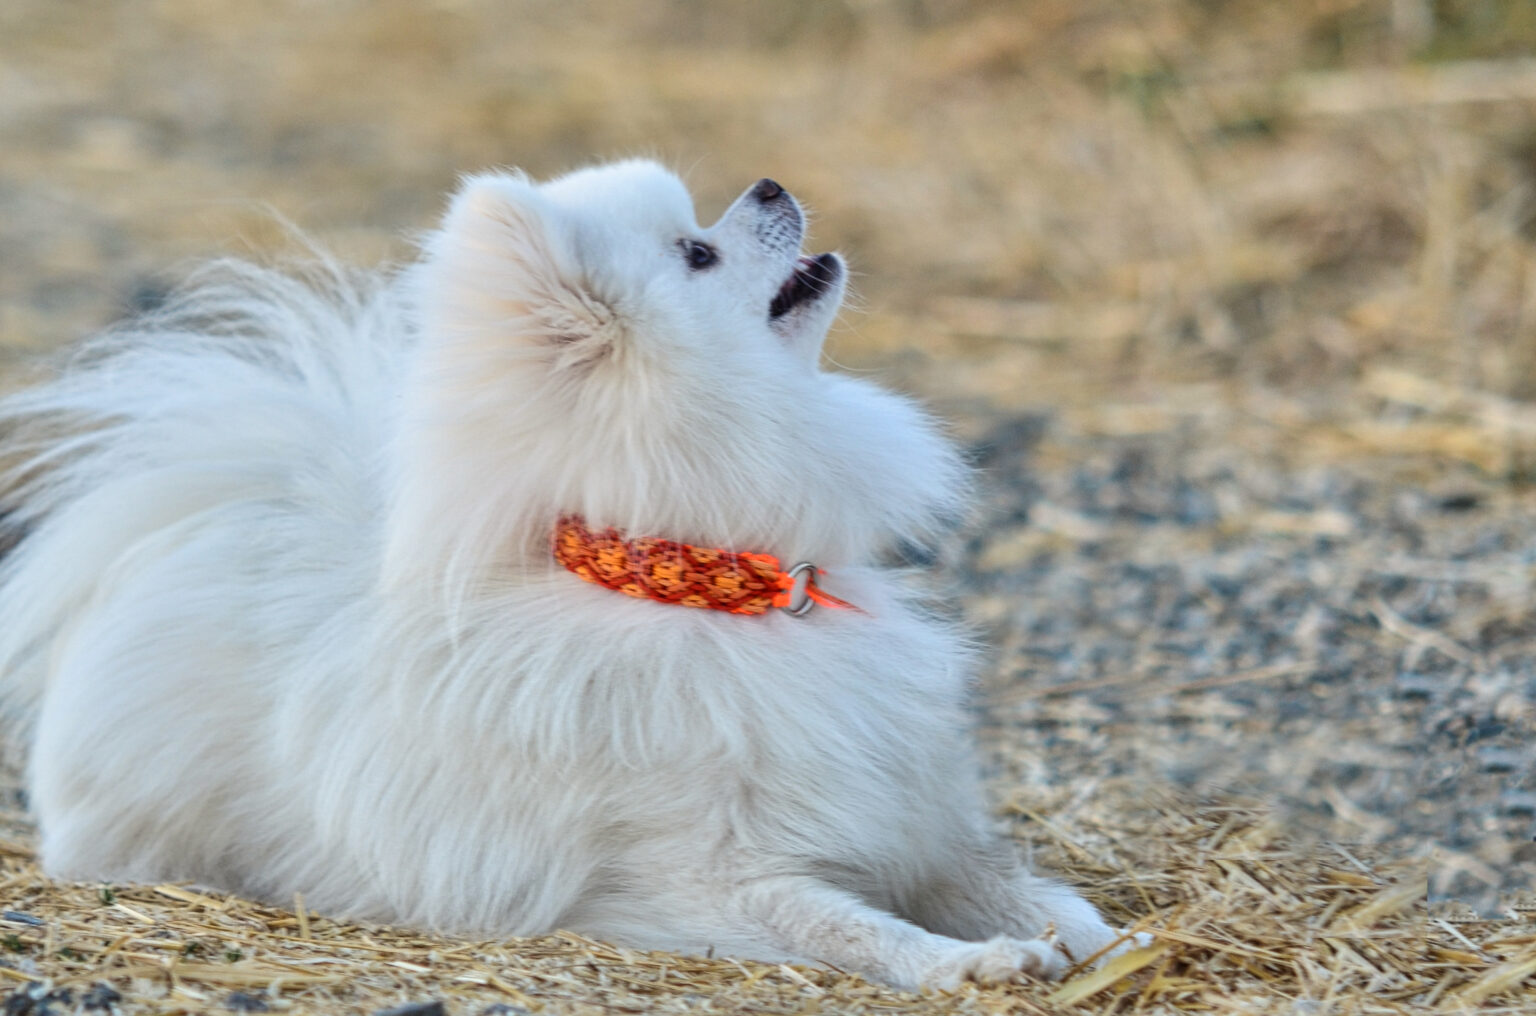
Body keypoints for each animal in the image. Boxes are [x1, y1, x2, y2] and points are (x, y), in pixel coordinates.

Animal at [0, 162, 1130, 983]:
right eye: (699, 251)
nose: (769, 186)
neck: (697, 585)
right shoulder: (702, 882)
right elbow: (852, 927)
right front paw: (971, 962)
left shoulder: (919, 828)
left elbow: (1042, 895)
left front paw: (1102, 940)